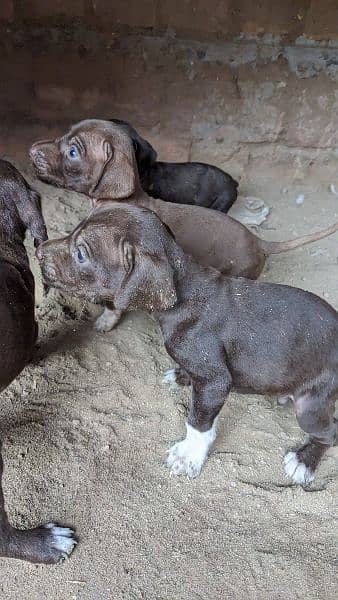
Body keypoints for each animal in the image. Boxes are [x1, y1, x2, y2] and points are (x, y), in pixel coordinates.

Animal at [37, 204, 338, 486]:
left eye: (81, 254)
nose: (38, 251)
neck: (183, 294)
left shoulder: (215, 382)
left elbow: (198, 423)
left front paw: (189, 454)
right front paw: (182, 376)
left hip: (310, 408)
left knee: (329, 434)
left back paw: (304, 461)